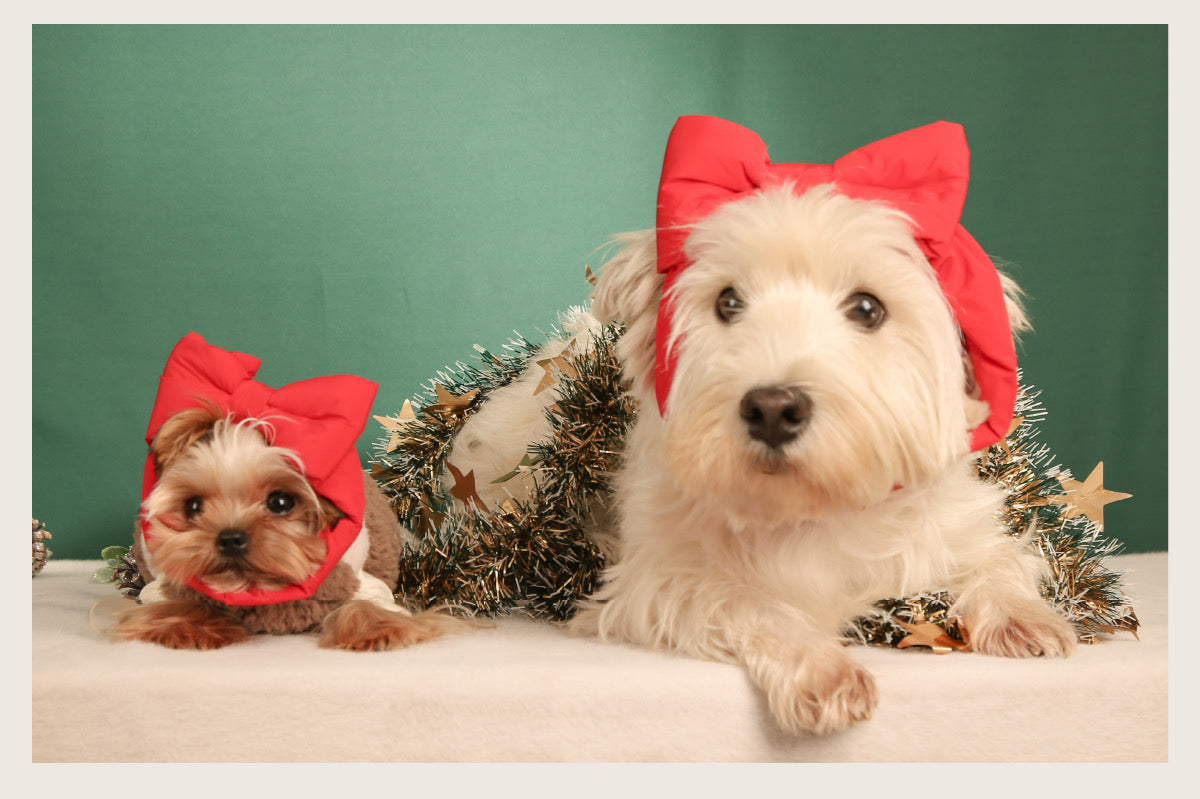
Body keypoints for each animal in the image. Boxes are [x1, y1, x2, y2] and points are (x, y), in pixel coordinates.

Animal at [114, 328, 456, 647]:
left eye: (281, 502)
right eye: (193, 506)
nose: (230, 538)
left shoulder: (366, 584)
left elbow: (368, 606)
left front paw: (379, 630)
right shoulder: (164, 587)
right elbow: (174, 603)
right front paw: (185, 627)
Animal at [451, 116, 1080, 734]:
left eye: (868, 308)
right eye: (728, 302)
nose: (773, 408)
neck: (811, 506)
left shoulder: (956, 524)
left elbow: (999, 559)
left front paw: (1026, 618)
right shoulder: (654, 584)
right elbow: (749, 603)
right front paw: (823, 670)